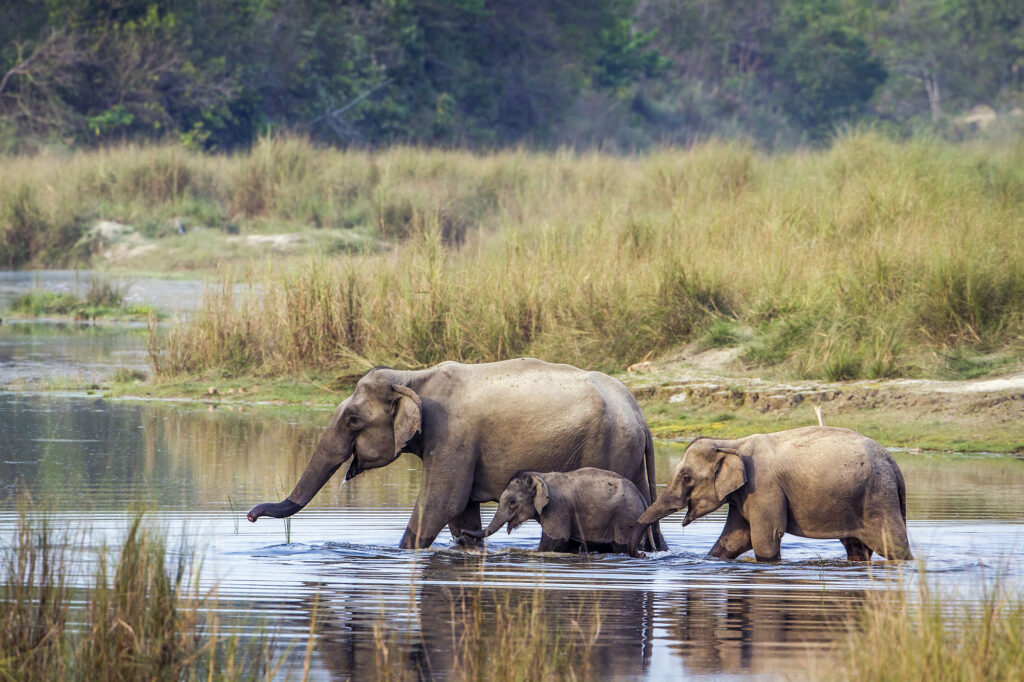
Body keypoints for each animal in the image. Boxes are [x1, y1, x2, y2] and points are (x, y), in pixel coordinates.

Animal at [462, 464, 647, 557]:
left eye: (513, 502)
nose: (462, 533)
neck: (540, 476)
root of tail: (642, 497)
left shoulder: (558, 509)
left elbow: (554, 542)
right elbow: (569, 545)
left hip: (626, 518)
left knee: (620, 546)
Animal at [630, 425, 913, 561]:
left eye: (686, 477)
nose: (642, 554)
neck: (732, 443)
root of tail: (894, 464)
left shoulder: (764, 487)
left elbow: (764, 537)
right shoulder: (745, 494)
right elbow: (735, 538)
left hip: (878, 496)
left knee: (893, 544)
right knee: (857, 548)